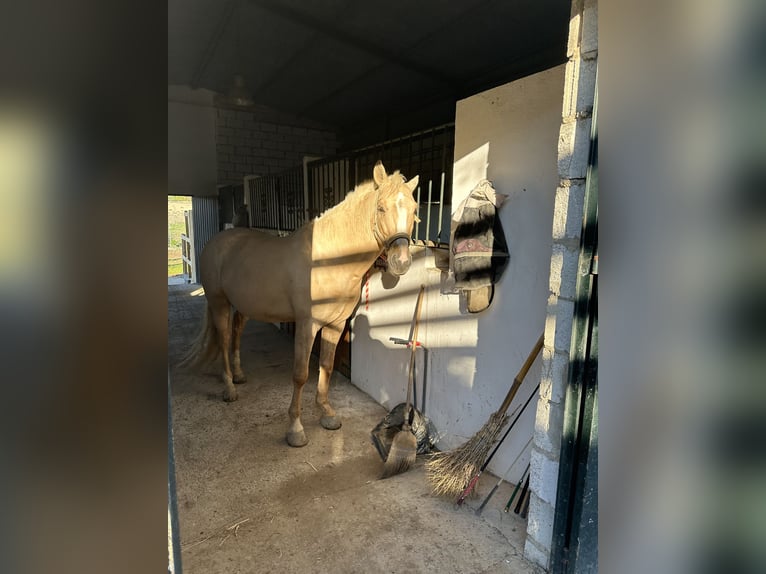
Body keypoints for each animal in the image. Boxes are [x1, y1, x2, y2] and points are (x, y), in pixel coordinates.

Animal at [180, 162, 420, 450]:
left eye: (415, 209)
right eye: (381, 208)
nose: (401, 262)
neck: (328, 258)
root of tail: (216, 243)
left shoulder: (335, 325)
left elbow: (326, 366)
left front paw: (327, 414)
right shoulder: (307, 325)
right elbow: (301, 374)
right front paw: (295, 429)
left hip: (243, 307)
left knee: (236, 334)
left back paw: (238, 375)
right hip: (219, 303)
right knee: (225, 339)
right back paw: (229, 388)